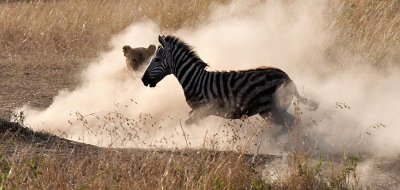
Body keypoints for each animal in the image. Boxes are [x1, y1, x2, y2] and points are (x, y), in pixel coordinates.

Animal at [142, 35, 318, 126]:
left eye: (156, 60)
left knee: (291, 124)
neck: (193, 79)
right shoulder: (198, 112)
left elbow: (187, 124)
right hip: (273, 111)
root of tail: (287, 77)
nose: (143, 79)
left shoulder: (203, 110)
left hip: (272, 111)